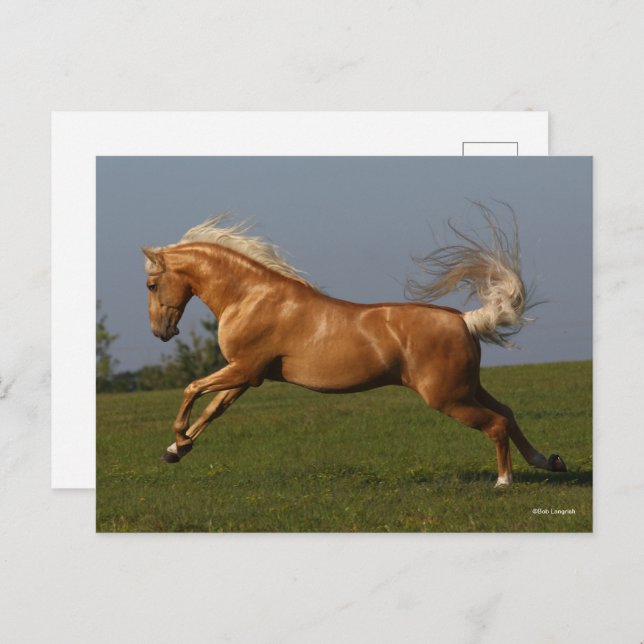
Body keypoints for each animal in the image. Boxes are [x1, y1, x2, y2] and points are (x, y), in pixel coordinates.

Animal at [142, 211, 567, 487]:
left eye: (151, 285)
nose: (161, 332)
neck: (251, 297)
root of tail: (464, 320)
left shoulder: (244, 369)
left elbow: (192, 389)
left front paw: (178, 440)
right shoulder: (249, 375)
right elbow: (213, 409)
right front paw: (175, 450)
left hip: (448, 397)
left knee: (495, 424)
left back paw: (504, 481)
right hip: (468, 387)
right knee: (508, 413)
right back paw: (550, 462)